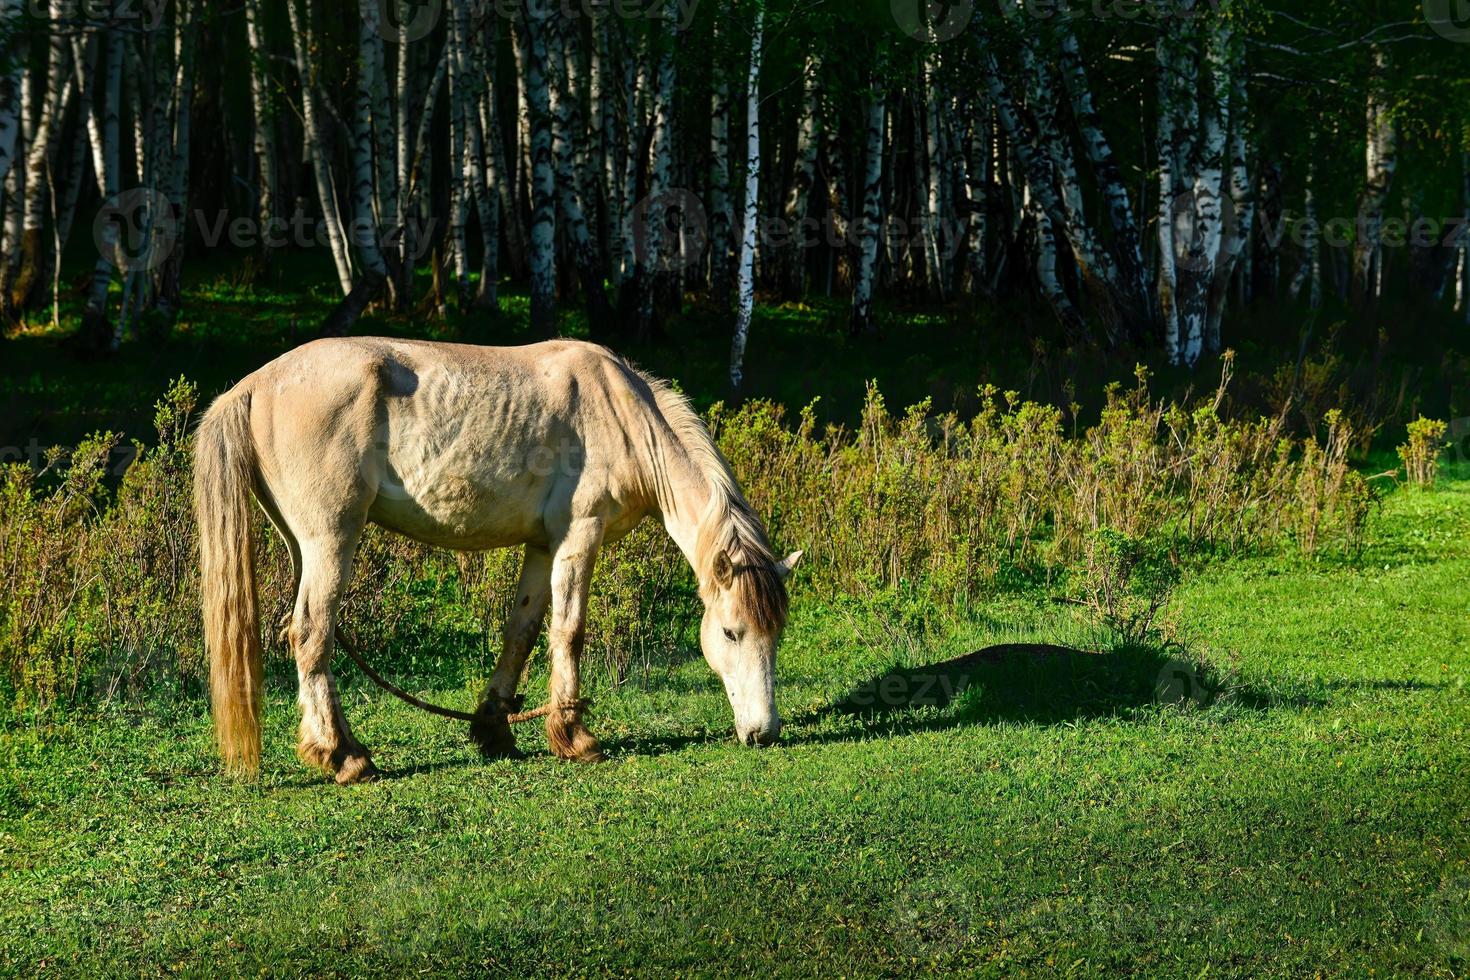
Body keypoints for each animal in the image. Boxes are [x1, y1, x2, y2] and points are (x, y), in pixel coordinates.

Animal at [195, 337, 805, 781]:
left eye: (775, 634)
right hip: (330, 542)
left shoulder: (543, 546)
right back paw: (344, 756)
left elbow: (523, 632)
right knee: (310, 635)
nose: (764, 733)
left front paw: (495, 729)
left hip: (304, 546)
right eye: (729, 633)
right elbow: (569, 632)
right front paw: (574, 737)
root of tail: (253, 386)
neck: (621, 414)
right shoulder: (579, 537)